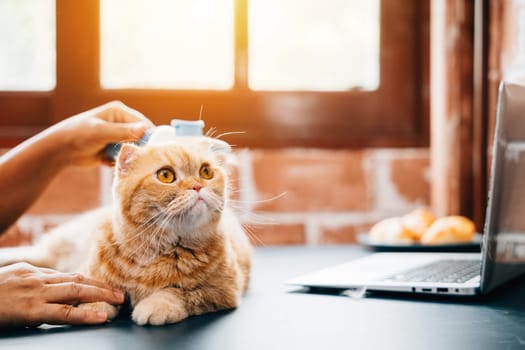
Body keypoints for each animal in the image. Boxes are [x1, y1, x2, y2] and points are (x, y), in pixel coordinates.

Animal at [0, 137, 252, 326]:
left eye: (206, 172)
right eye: (166, 175)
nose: (197, 186)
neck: (154, 250)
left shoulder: (223, 291)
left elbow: (181, 292)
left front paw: (156, 305)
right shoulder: (91, 277)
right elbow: (95, 290)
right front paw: (93, 306)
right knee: (37, 253)